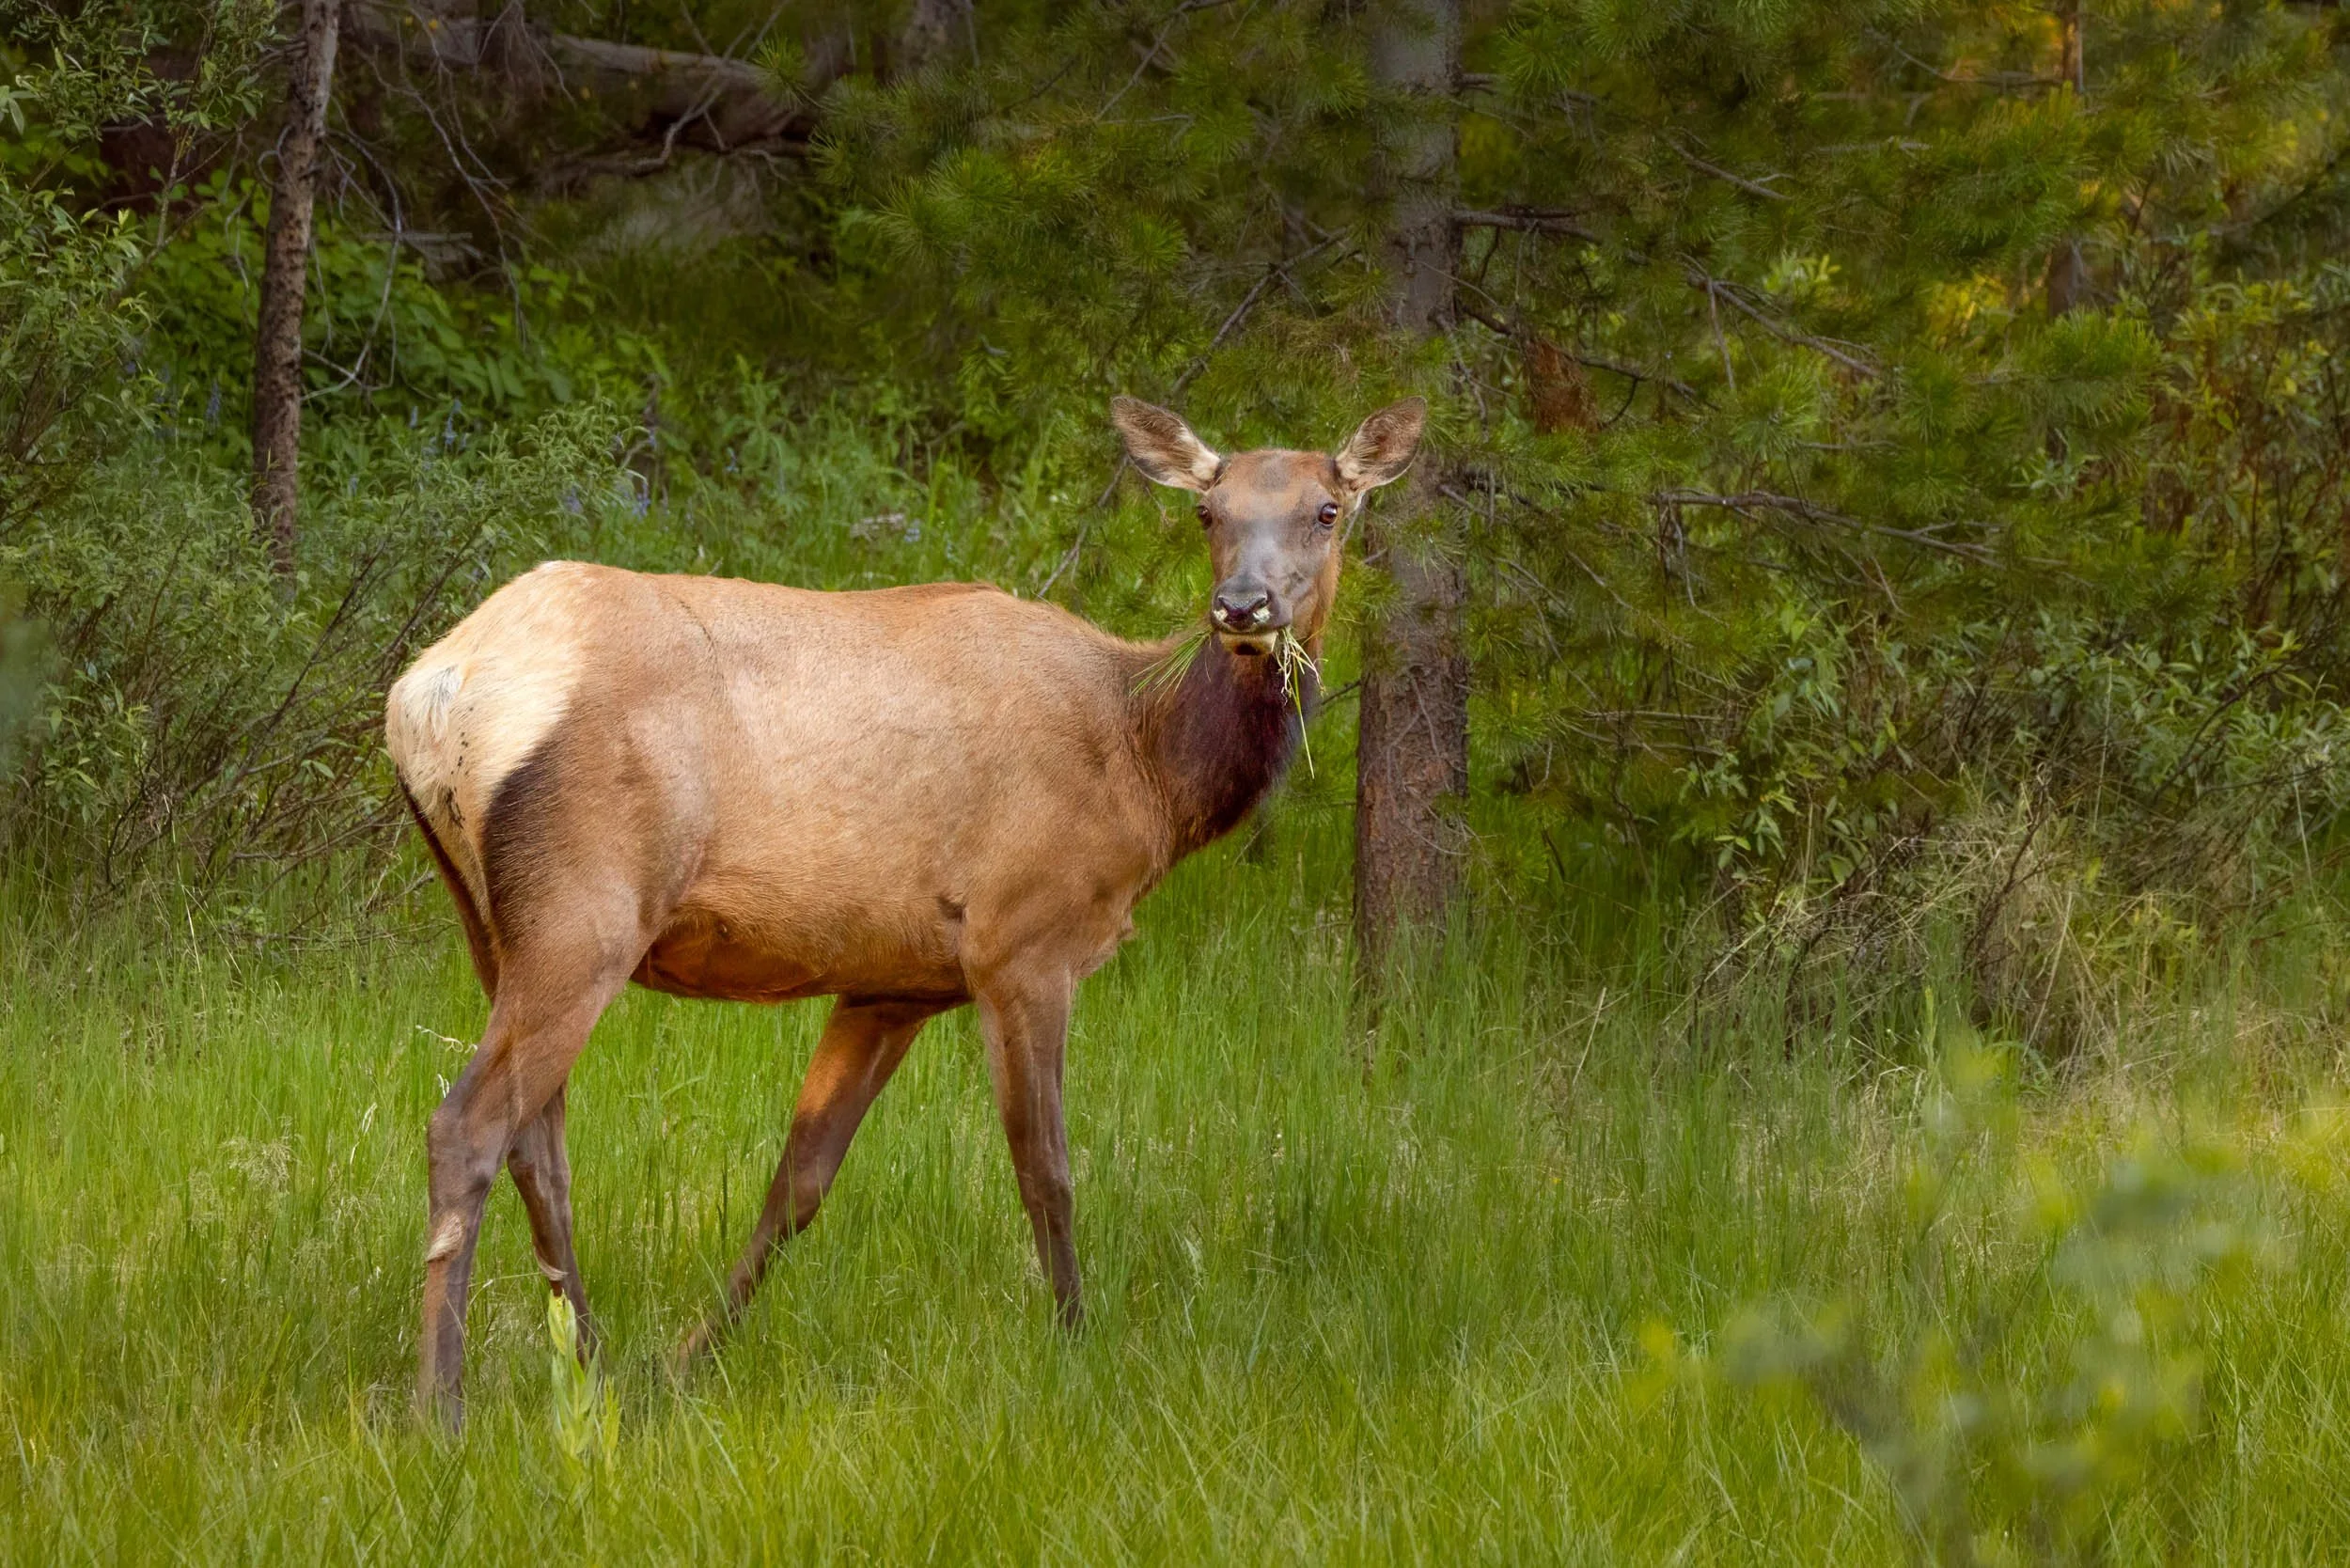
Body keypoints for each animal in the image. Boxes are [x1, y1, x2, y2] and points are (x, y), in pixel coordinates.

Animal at [383, 395, 1426, 1425]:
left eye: (1327, 511)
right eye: (1208, 512)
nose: (1243, 608)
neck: (1150, 771)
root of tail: (430, 692)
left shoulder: (893, 983)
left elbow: (798, 1183)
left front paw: (682, 1367)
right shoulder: (1024, 942)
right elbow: (1046, 1167)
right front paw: (1076, 1346)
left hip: (491, 923)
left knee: (540, 1144)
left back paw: (592, 1366)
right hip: (586, 909)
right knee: (468, 1127)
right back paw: (441, 1405)